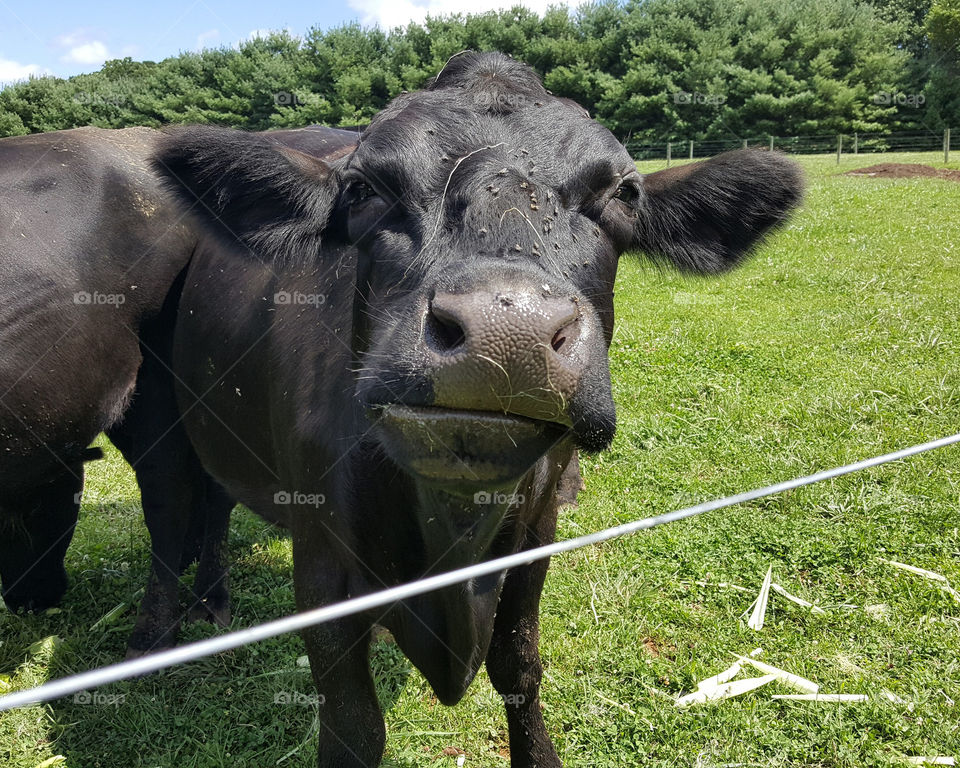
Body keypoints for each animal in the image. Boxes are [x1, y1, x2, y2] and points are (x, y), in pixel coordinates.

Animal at [152, 51, 803, 766]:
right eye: (362, 190)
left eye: (623, 195)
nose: (505, 330)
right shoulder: (320, 561)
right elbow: (353, 723)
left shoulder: (534, 537)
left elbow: (518, 664)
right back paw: (207, 603)